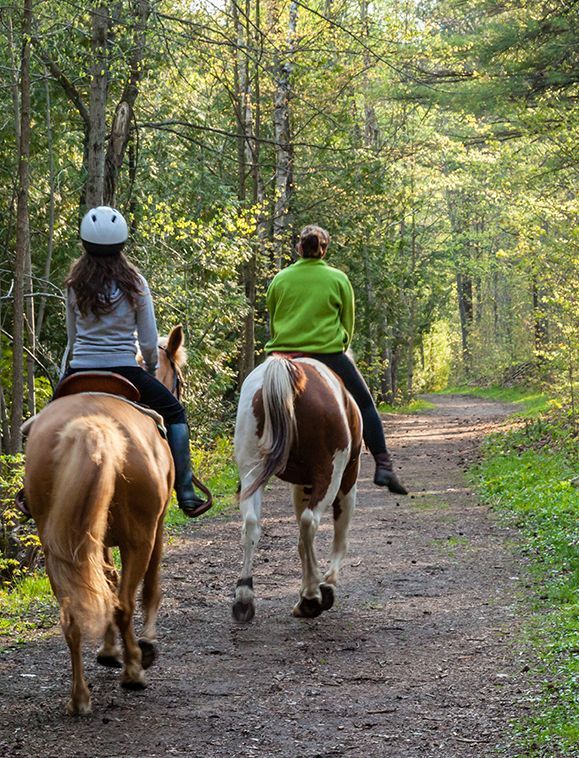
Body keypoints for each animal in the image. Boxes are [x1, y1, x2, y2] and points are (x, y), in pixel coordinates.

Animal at [23, 325, 188, 715]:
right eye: (179, 378)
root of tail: (91, 424)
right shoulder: (156, 527)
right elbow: (149, 586)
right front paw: (144, 646)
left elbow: (104, 581)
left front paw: (109, 650)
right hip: (140, 536)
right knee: (126, 601)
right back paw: (134, 671)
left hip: (57, 544)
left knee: (73, 613)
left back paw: (80, 698)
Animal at [232, 354, 363, 622]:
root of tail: (288, 369)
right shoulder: (347, 480)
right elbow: (339, 535)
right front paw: (326, 585)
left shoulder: (302, 485)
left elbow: (302, 544)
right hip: (330, 473)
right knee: (310, 522)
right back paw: (313, 595)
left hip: (251, 470)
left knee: (252, 524)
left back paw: (244, 597)